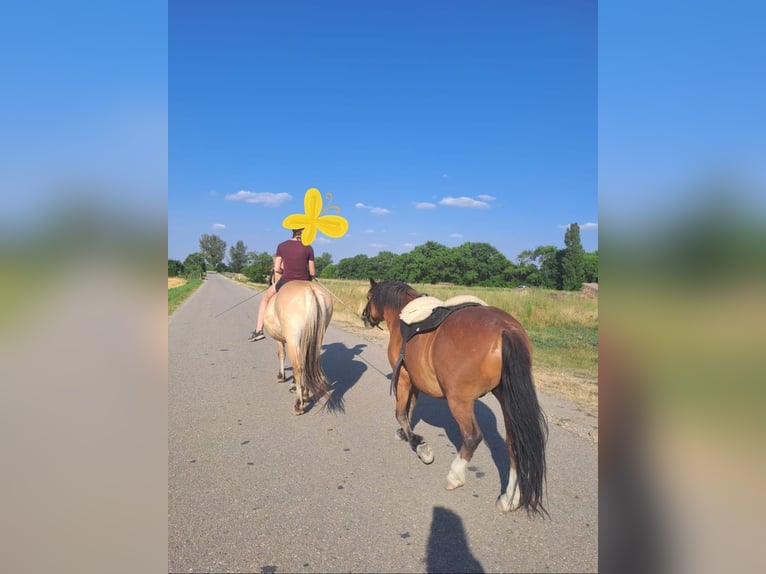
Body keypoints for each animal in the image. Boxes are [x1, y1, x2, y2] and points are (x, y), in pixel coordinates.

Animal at [264, 282, 332, 416]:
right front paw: (294, 384)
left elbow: (281, 354)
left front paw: (282, 376)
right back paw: (305, 394)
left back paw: (298, 404)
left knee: (298, 368)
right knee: (308, 364)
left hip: (293, 339)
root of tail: (311, 291)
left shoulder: (281, 340)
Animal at [364, 280, 548, 516]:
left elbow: (400, 412)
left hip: (459, 401)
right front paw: (408, 435)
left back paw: (455, 476)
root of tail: (505, 329)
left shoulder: (404, 378)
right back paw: (509, 499)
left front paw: (419, 444)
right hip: (506, 399)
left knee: (472, 437)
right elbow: (410, 409)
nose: (365, 317)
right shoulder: (415, 382)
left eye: (369, 296)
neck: (402, 316)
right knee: (514, 442)